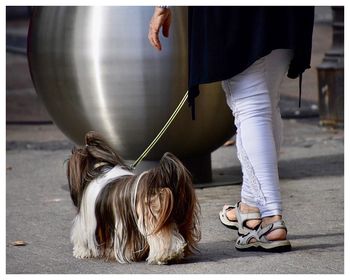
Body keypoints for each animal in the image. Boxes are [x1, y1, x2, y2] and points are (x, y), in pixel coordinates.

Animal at [67, 131, 201, 264]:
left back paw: (164, 256)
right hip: (180, 215)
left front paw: (82, 252)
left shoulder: (86, 223)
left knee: (162, 238)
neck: (99, 169)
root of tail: (160, 179)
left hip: (152, 219)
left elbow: (83, 240)